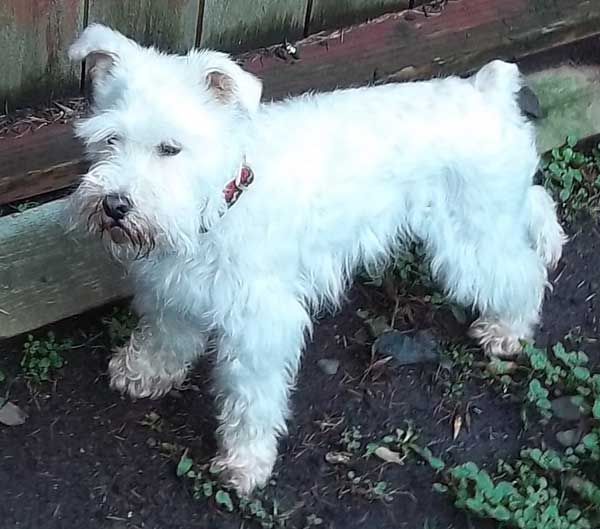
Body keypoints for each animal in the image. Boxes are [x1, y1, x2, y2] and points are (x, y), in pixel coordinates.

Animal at [68, 23, 564, 496]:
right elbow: (165, 335)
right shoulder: (174, 290)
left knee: (521, 273)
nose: (115, 205)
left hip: (472, 237)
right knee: (536, 202)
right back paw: (550, 242)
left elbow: (252, 398)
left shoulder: (260, 326)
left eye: (170, 148)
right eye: (110, 139)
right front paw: (144, 371)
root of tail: (486, 91)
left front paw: (245, 462)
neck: (222, 199)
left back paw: (507, 329)